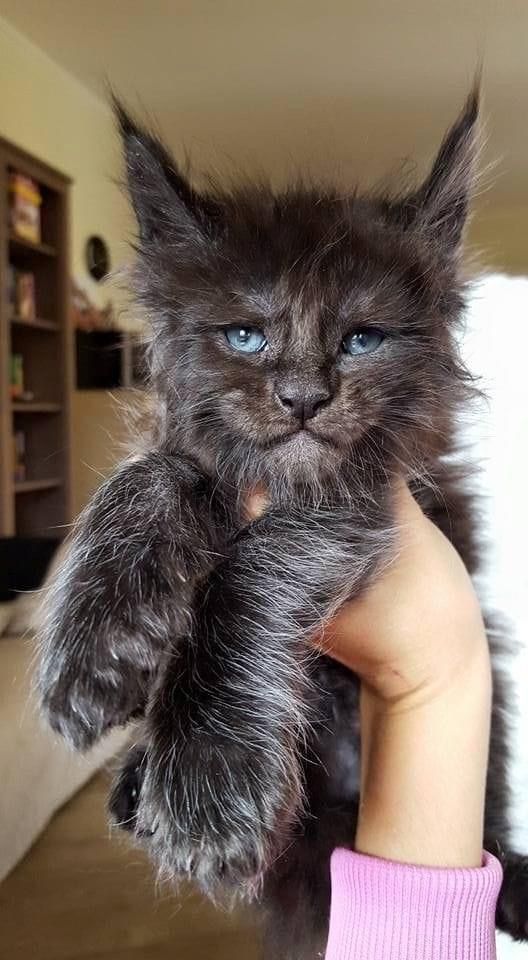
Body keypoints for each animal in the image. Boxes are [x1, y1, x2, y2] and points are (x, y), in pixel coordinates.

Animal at [38, 88, 528, 952]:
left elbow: (256, 564)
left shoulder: (368, 496)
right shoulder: (188, 447)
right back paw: (132, 781)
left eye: (361, 340)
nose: (303, 398)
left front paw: (209, 772)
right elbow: (148, 475)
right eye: (245, 335)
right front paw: (98, 642)